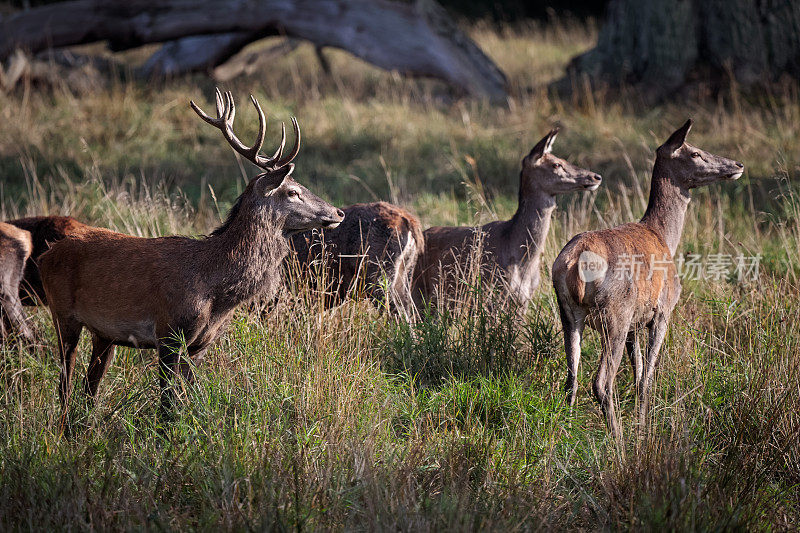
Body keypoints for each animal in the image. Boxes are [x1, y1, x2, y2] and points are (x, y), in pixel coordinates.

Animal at [39, 88, 344, 428]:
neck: (216, 291)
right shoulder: (169, 333)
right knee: (65, 383)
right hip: (62, 313)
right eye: (292, 191)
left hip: (103, 335)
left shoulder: (199, 345)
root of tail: (46, 255)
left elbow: (187, 402)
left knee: (89, 389)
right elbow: (167, 405)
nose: (338, 212)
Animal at [552, 119, 744, 436]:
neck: (663, 235)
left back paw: (564, 431)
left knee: (571, 379)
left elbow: (638, 368)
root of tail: (575, 262)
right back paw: (617, 439)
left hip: (568, 312)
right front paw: (643, 427)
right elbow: (647, 377)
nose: (737, 164)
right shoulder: (663, 310)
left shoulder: (635, 323)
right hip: (615, 313)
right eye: (694, 152)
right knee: (601, 382)